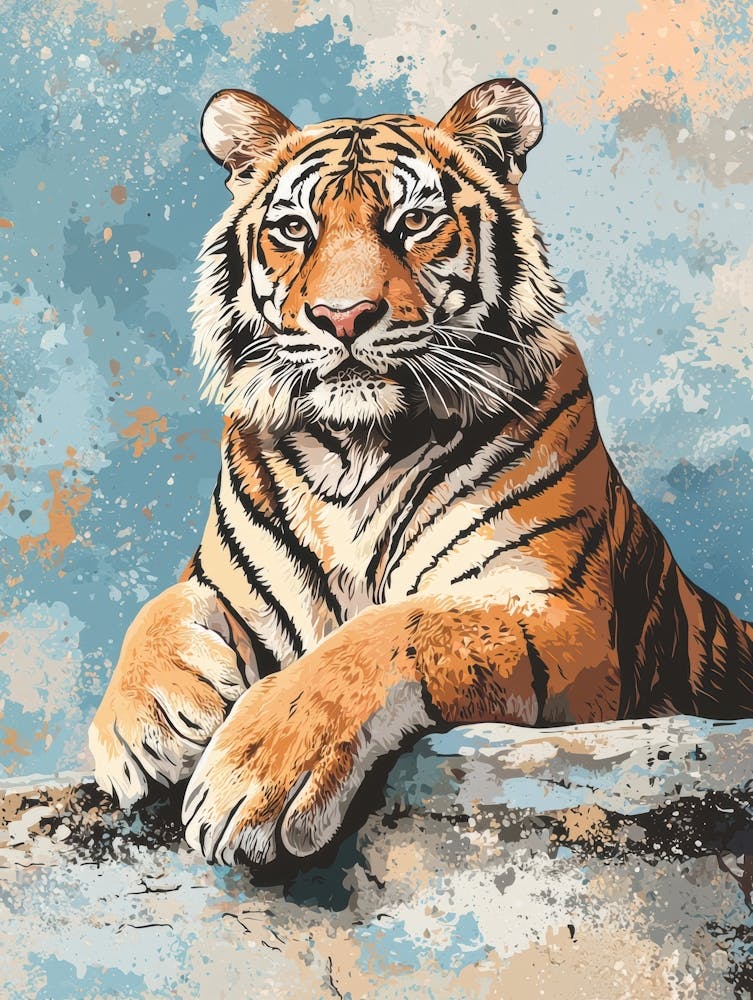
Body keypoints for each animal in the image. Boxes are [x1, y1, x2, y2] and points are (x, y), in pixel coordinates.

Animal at [89, 79, 753, 866]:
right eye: (293, 229)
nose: (342, 317)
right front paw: (142, 723)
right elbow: (160, 607)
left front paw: (253, 773)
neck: (354, 450)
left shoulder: (562, 615)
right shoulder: (230, 585)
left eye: (413, 222)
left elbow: (394, 627)